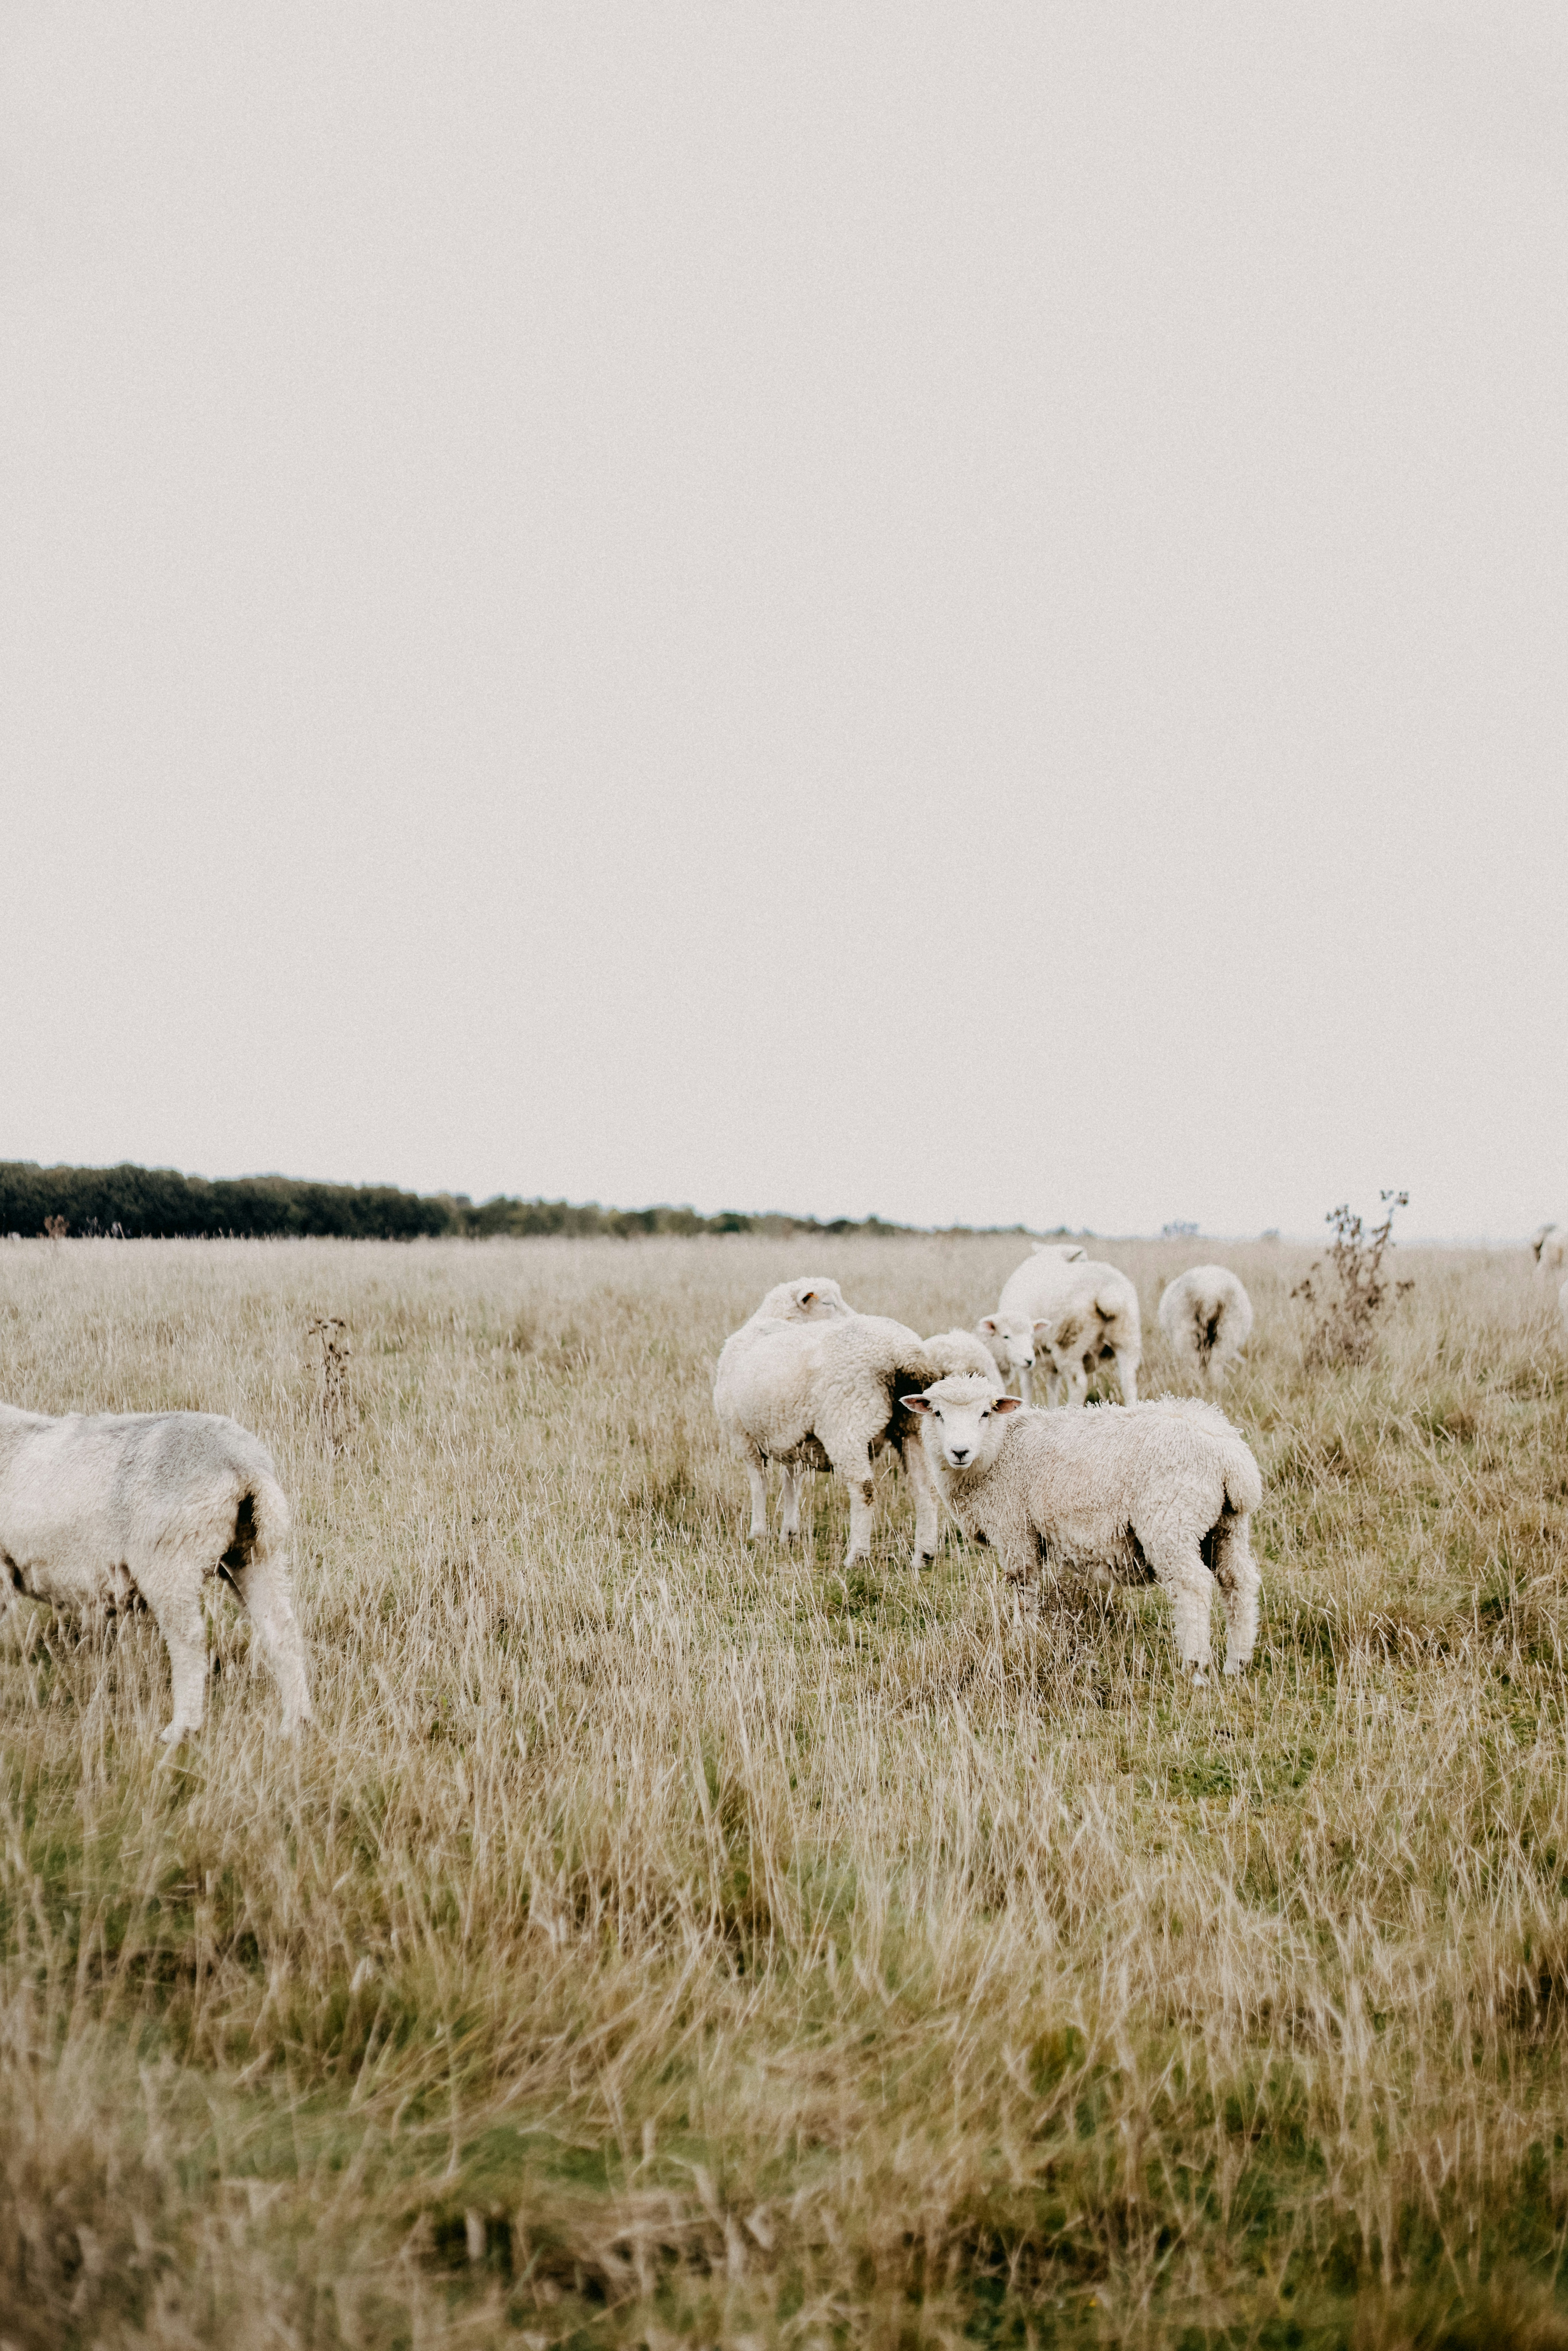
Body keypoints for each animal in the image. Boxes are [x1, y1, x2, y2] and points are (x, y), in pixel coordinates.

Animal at [0, 1400, 313, 1746]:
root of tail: (242, 1466)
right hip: (256, 1550)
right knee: (281, 1629)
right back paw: (295, 1723)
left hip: (170, 1557)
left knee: (188, 1638)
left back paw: (182, 1729)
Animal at [712, 1312, 985, 1567]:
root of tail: (906, 1355)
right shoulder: (791, 1440)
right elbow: (792, 1482)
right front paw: (789, 1533)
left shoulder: (745, 1438)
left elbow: (759, 1485)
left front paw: (757, 1534)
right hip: (915, 1428)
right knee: (925, 1488)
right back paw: (924, 1556)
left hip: (848, 1425)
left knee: (864, 1490)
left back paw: (857, 1556)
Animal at [903, 1374, 1262, 1679]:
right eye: (937, 1413)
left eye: (985, 1413)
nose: (959, 1451)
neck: (1000, 1450)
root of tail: (1230, 1455)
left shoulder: (1014, 1528)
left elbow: (1023, 1588)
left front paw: (1021, 1641)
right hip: (1228, 1525)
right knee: (1238, 1582)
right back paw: (1237, 1662)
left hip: (1171, 1522)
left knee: (1193, 1585)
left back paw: (1195, 1666)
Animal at [977, 1246, 1141, 1408]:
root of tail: (1108, 1291)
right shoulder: (1047, 1360)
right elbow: (1053, 1386)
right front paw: (1052, 1409)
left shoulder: (1025, 1353)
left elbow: (1027, 1383)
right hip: (1127, 1338)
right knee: (1128, 1382)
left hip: (1070, 1342)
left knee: (1079, 1384)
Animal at [1157, 1266, 1254, 1392]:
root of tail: (1209, 1294)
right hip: (1226, 1331)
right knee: (1213, 1363)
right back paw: (1213, 1387)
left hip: (1189, 1332)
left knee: (1198, 1363)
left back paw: (1200, 1386)